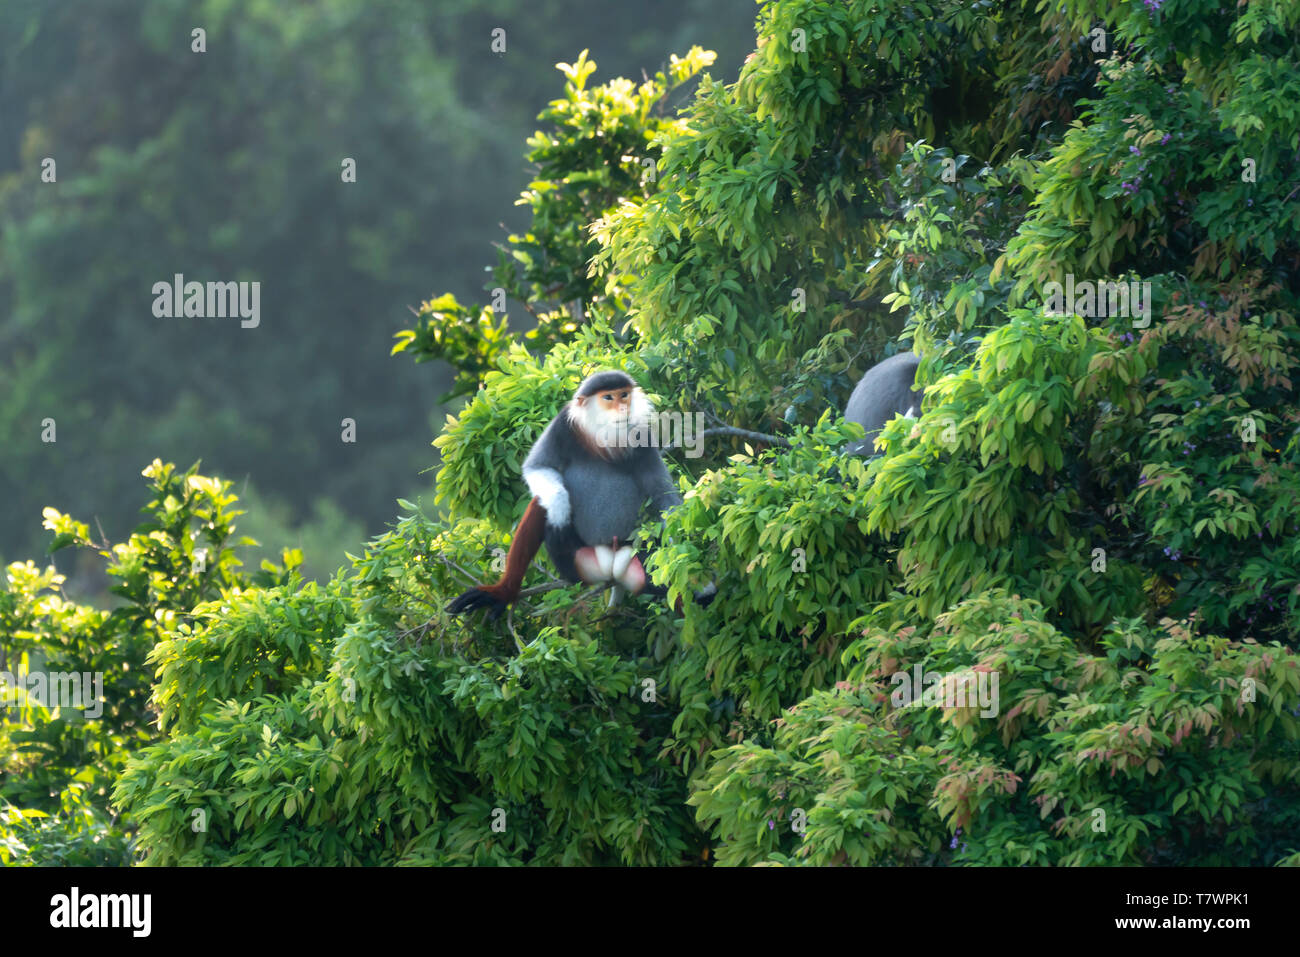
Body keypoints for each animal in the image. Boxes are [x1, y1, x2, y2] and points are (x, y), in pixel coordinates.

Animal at [444, 366, 712, 621]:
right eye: (608, 397)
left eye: (624, 394)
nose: (623, 406)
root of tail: (610, 566)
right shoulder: (562, 425)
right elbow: (537, 467)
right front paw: (561, 510)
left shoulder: (642, 436)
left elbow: (664, 498)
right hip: (577, 565)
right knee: (542, 502)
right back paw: (503, 592)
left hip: (642, 564)